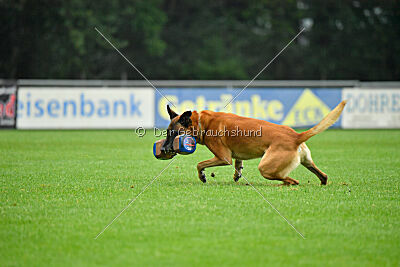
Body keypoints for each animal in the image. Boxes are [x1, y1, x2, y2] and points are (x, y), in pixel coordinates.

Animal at [161, 101, 346, 186]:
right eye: (168, 132)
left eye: (174, 133)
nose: (163, 149)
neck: (202, 122)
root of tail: (296, 136)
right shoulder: (235, 155)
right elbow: (238, 163)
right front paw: (237, 174)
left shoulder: (223, 157)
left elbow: (199, 164)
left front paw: (203, 176)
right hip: (307, 162)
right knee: (323, 176)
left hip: (266, 168)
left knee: (291, 180)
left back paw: (284, 184)